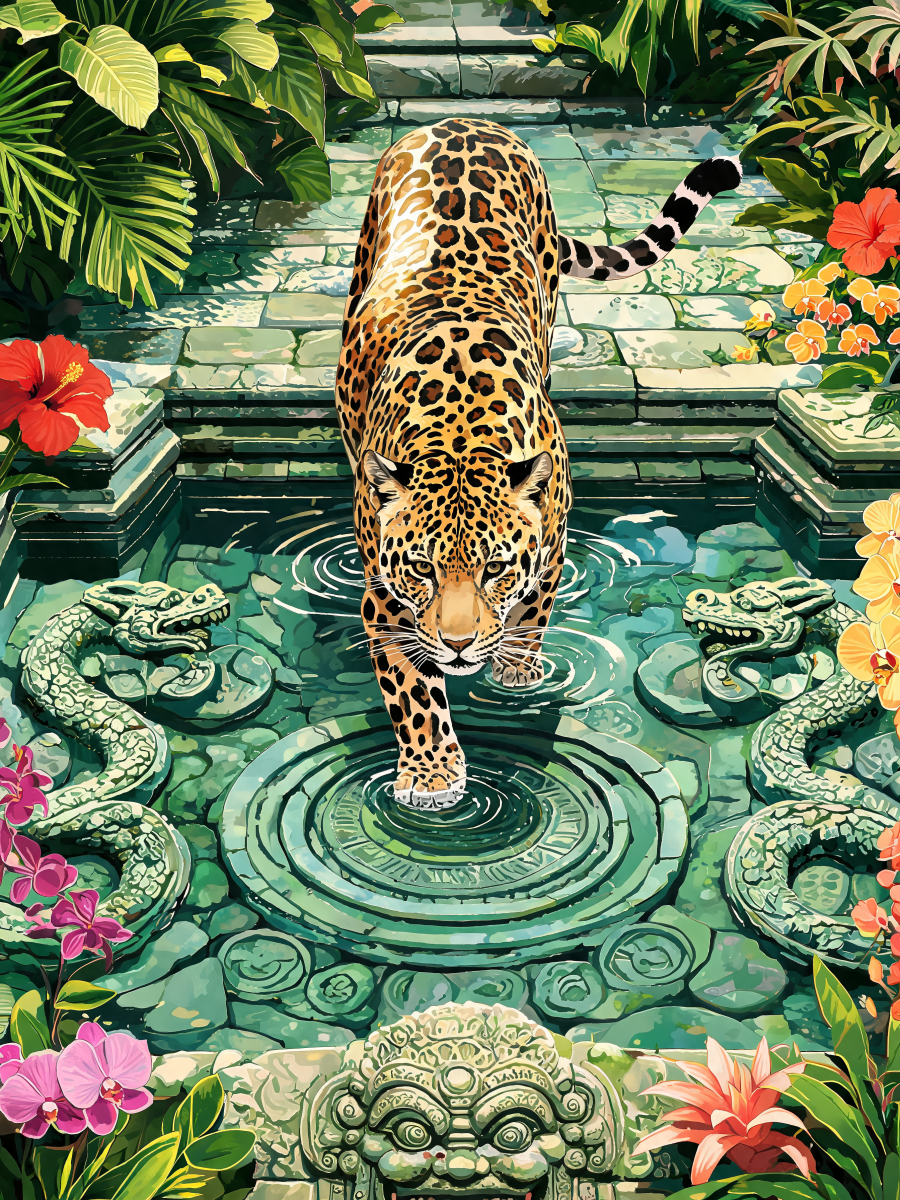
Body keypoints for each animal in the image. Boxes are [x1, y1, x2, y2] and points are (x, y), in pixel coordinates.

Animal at [335, 116, 741, 810]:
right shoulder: (385, 600)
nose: (459, 645)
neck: (460, 431)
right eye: (420, 568)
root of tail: (463, 120)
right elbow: (413, 692)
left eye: (496, 568)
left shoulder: (553, 539)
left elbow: (534, 611)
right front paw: (433, 775)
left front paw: (517, 669)